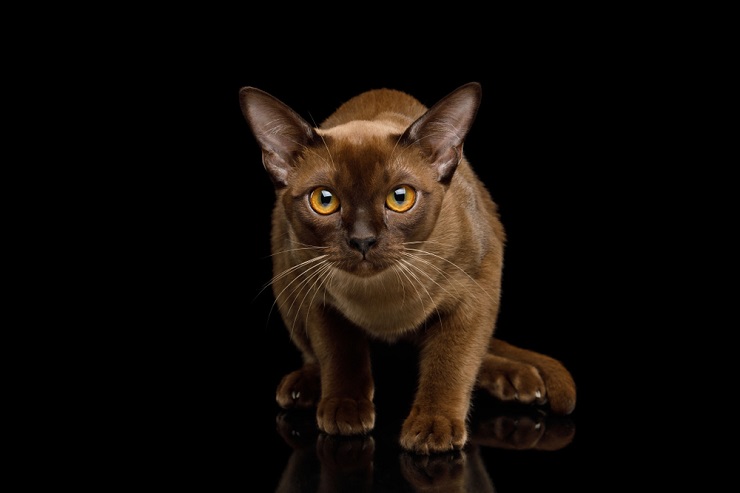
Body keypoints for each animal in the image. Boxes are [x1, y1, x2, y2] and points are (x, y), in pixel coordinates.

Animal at [240, 80, 576, 454]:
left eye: (400, 198)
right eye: (324, 200)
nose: (363, 240)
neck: (381, 298)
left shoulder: (478, 286)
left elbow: (452, 361)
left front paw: (433, 427)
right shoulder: (312, 289)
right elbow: (338, 352)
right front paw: (345, 408)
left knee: (474, 352)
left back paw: (519, 381)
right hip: (285, 282)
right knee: (313, 355)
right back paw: (305, 386)